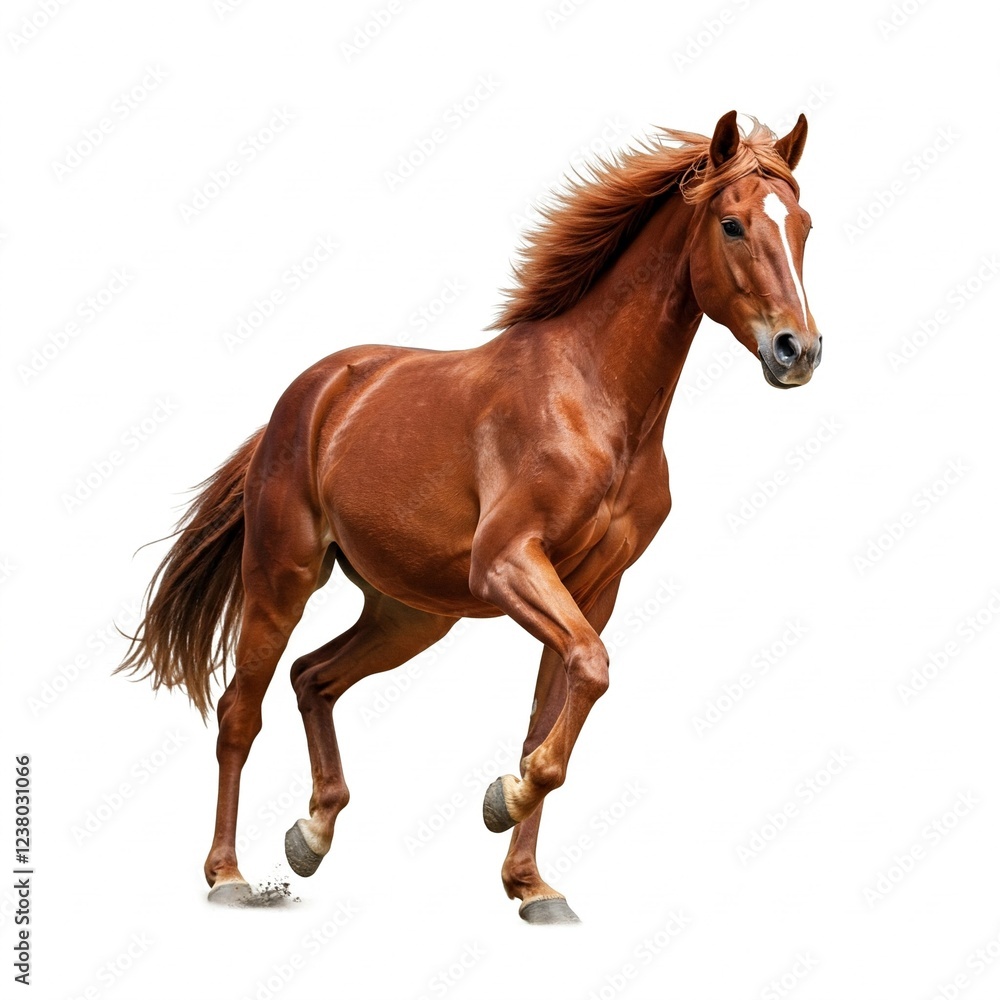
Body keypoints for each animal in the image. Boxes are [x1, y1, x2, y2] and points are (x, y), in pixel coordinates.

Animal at [118, 110, 821, 924]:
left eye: (803, 224)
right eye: (732, 224)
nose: (798, 351)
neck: (596, 402)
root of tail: (311, 394)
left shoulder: (591, 592)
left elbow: (557, 705)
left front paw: (532, 885)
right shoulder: (508, 562)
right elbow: (589, 672)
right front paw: (502, 801)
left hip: (411, 615)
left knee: (312, 677)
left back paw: (311, 835)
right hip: (282, 579)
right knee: (241, 710)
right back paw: (229, 875)